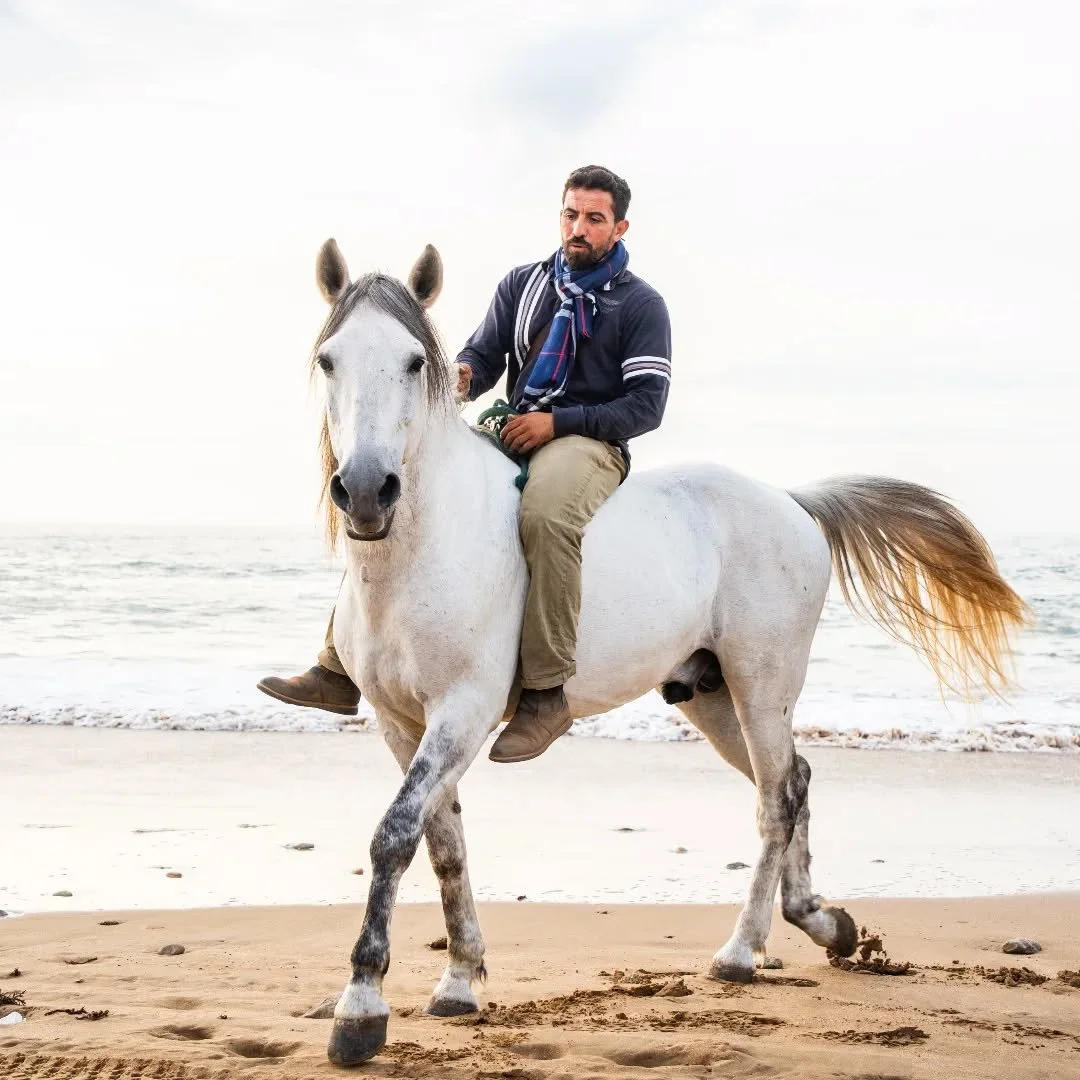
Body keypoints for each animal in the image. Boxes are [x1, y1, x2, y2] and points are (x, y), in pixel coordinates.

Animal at [306, 239, 1027, 1066]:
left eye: (412, 361)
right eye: (328, 359)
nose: (367, 490)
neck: (423, 547)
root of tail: (791, 502)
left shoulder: (461, 714)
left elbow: (395, 836)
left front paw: (361, 1007)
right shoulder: (402, 724)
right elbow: (442, 842)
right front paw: (459, 981)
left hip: (762, 685)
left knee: (777, 800)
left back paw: (742, 951)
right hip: (710, 697)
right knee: (794, 780)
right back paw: (821, 922)